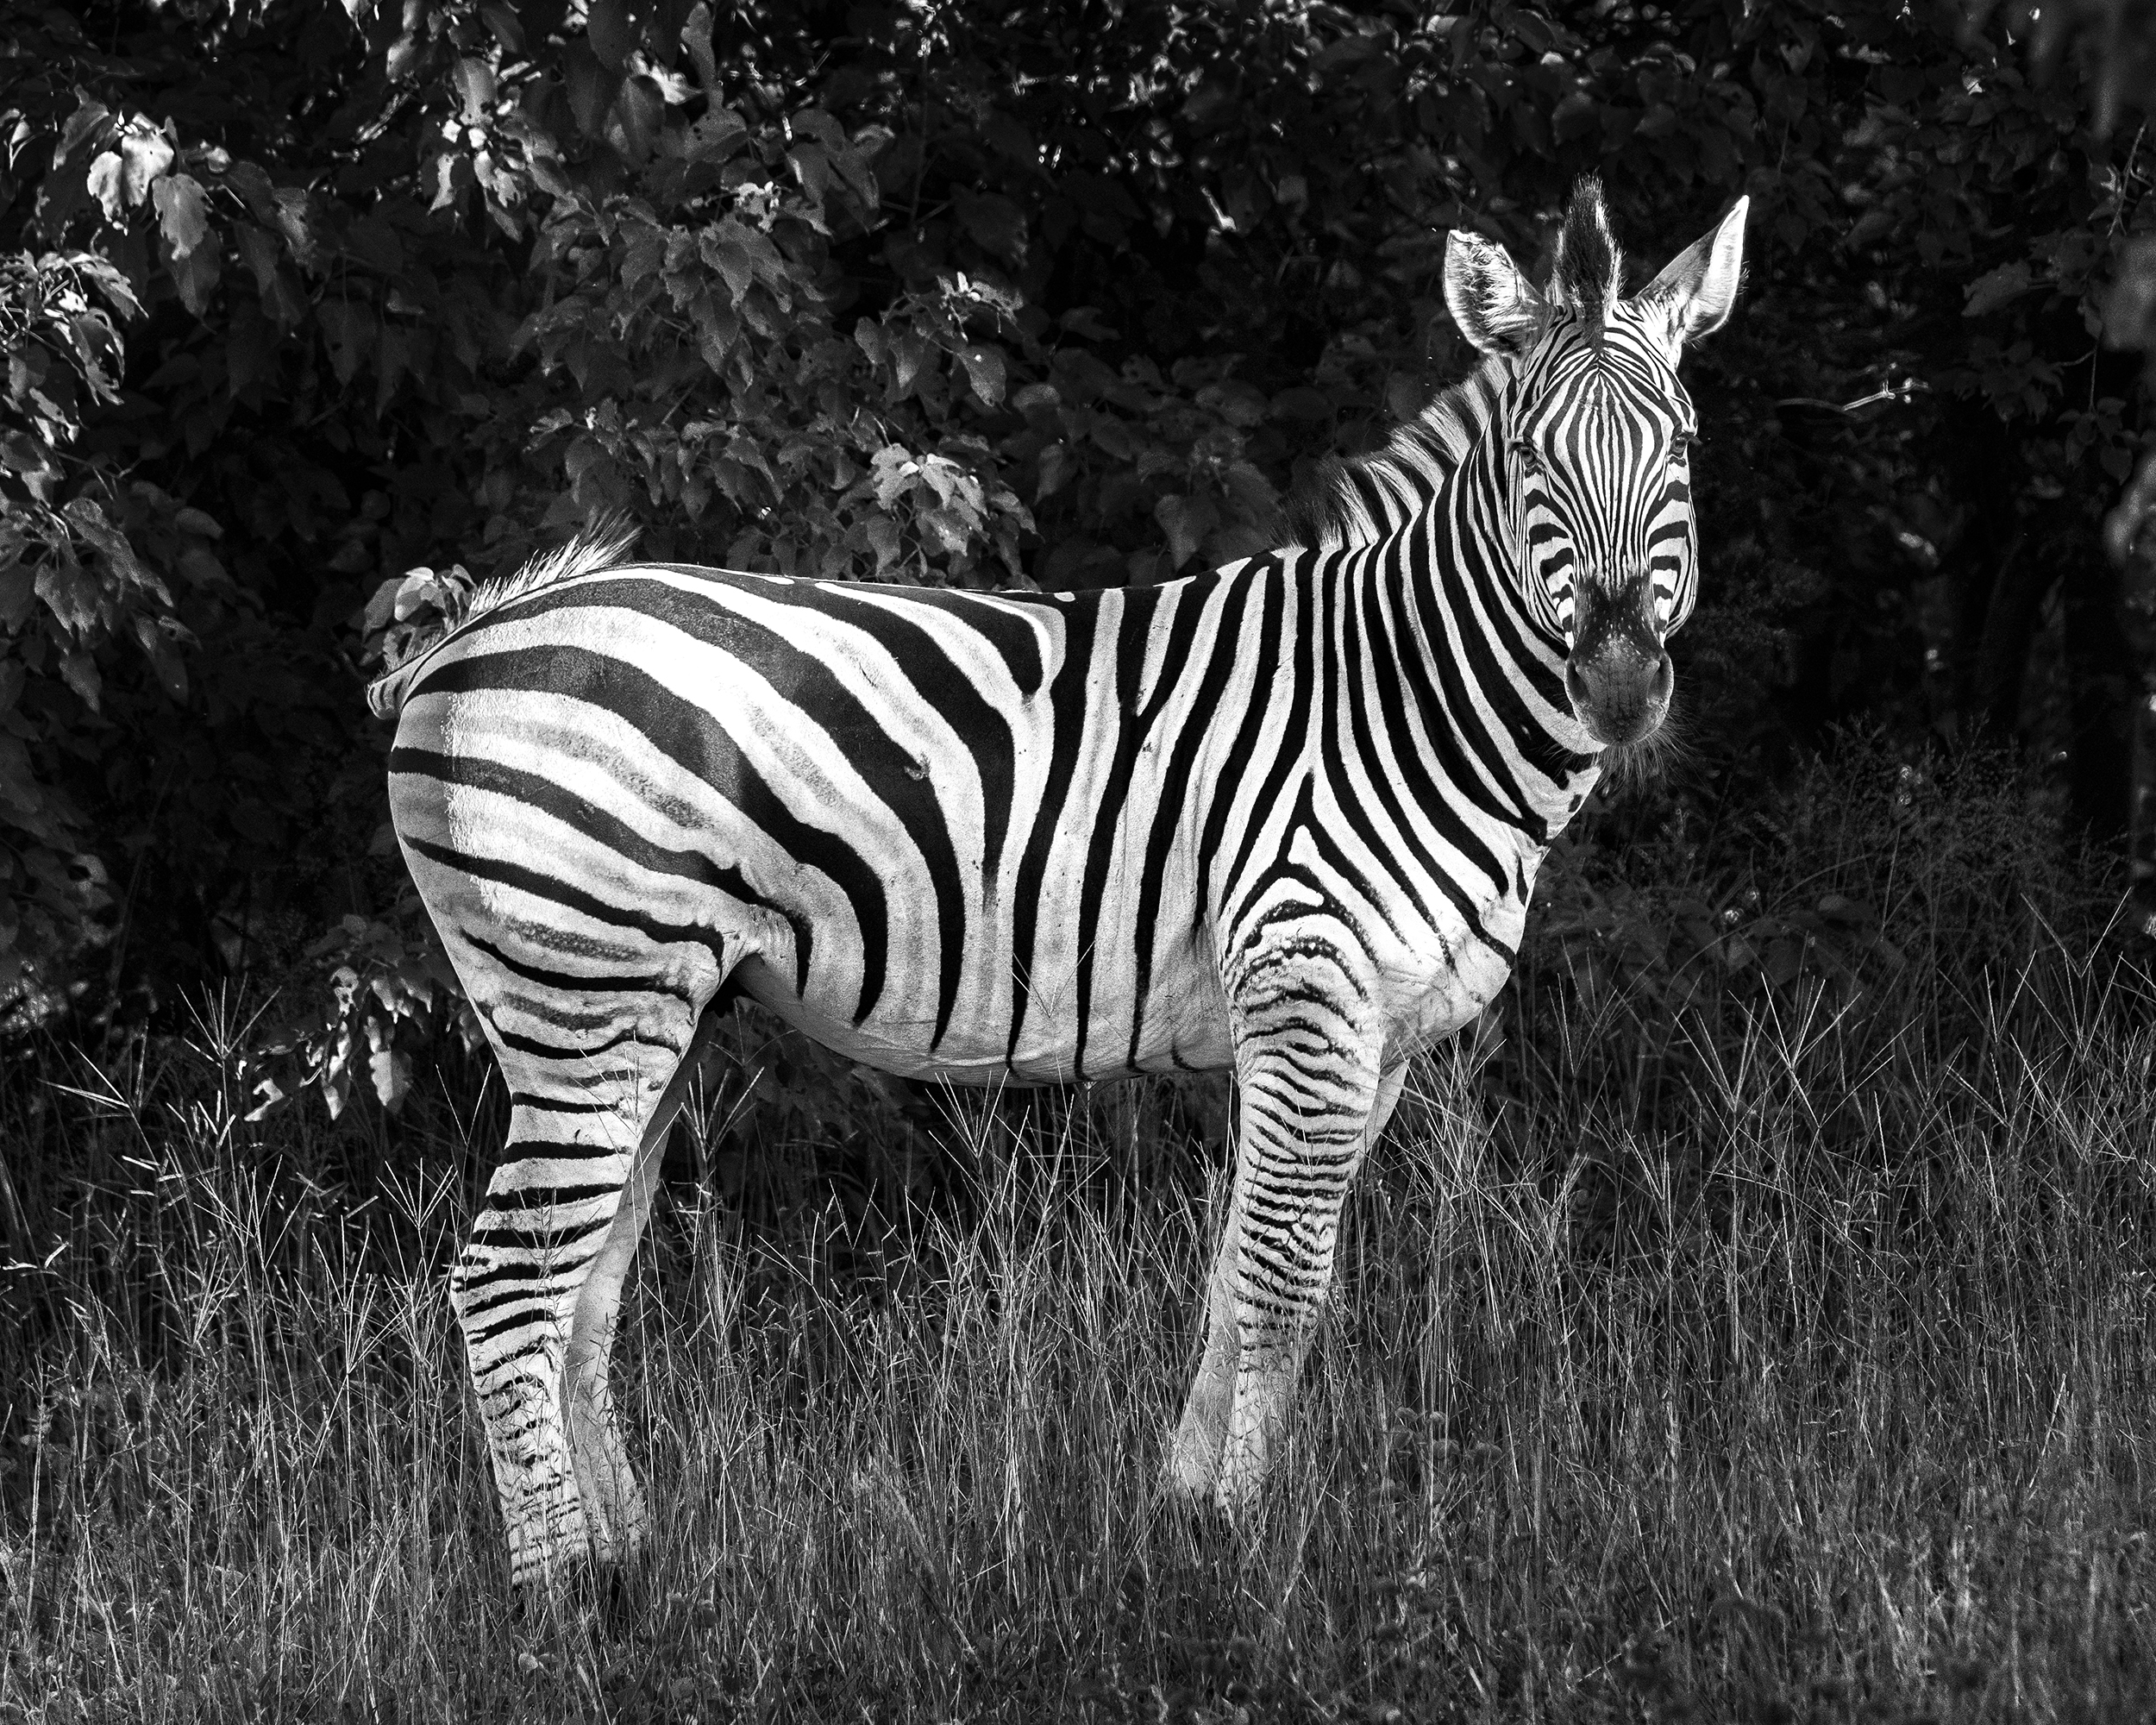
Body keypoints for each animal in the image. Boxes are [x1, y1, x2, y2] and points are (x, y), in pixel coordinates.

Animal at [375, 179, 1751, 1587]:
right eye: (1532, 460)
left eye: (1686, 449)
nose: (1621, 682)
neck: (1404, 695)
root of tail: (467, 635)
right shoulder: (1306, 984)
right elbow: (1280, 1276)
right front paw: (1247, 1545)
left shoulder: (1376, 1040)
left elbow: (1243, 1272)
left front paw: (1187, 1515)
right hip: (585, 991)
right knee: (507, 1286)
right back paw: (557, 1594)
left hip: (644, 1011)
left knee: (582, 1291)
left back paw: (627, 1568)